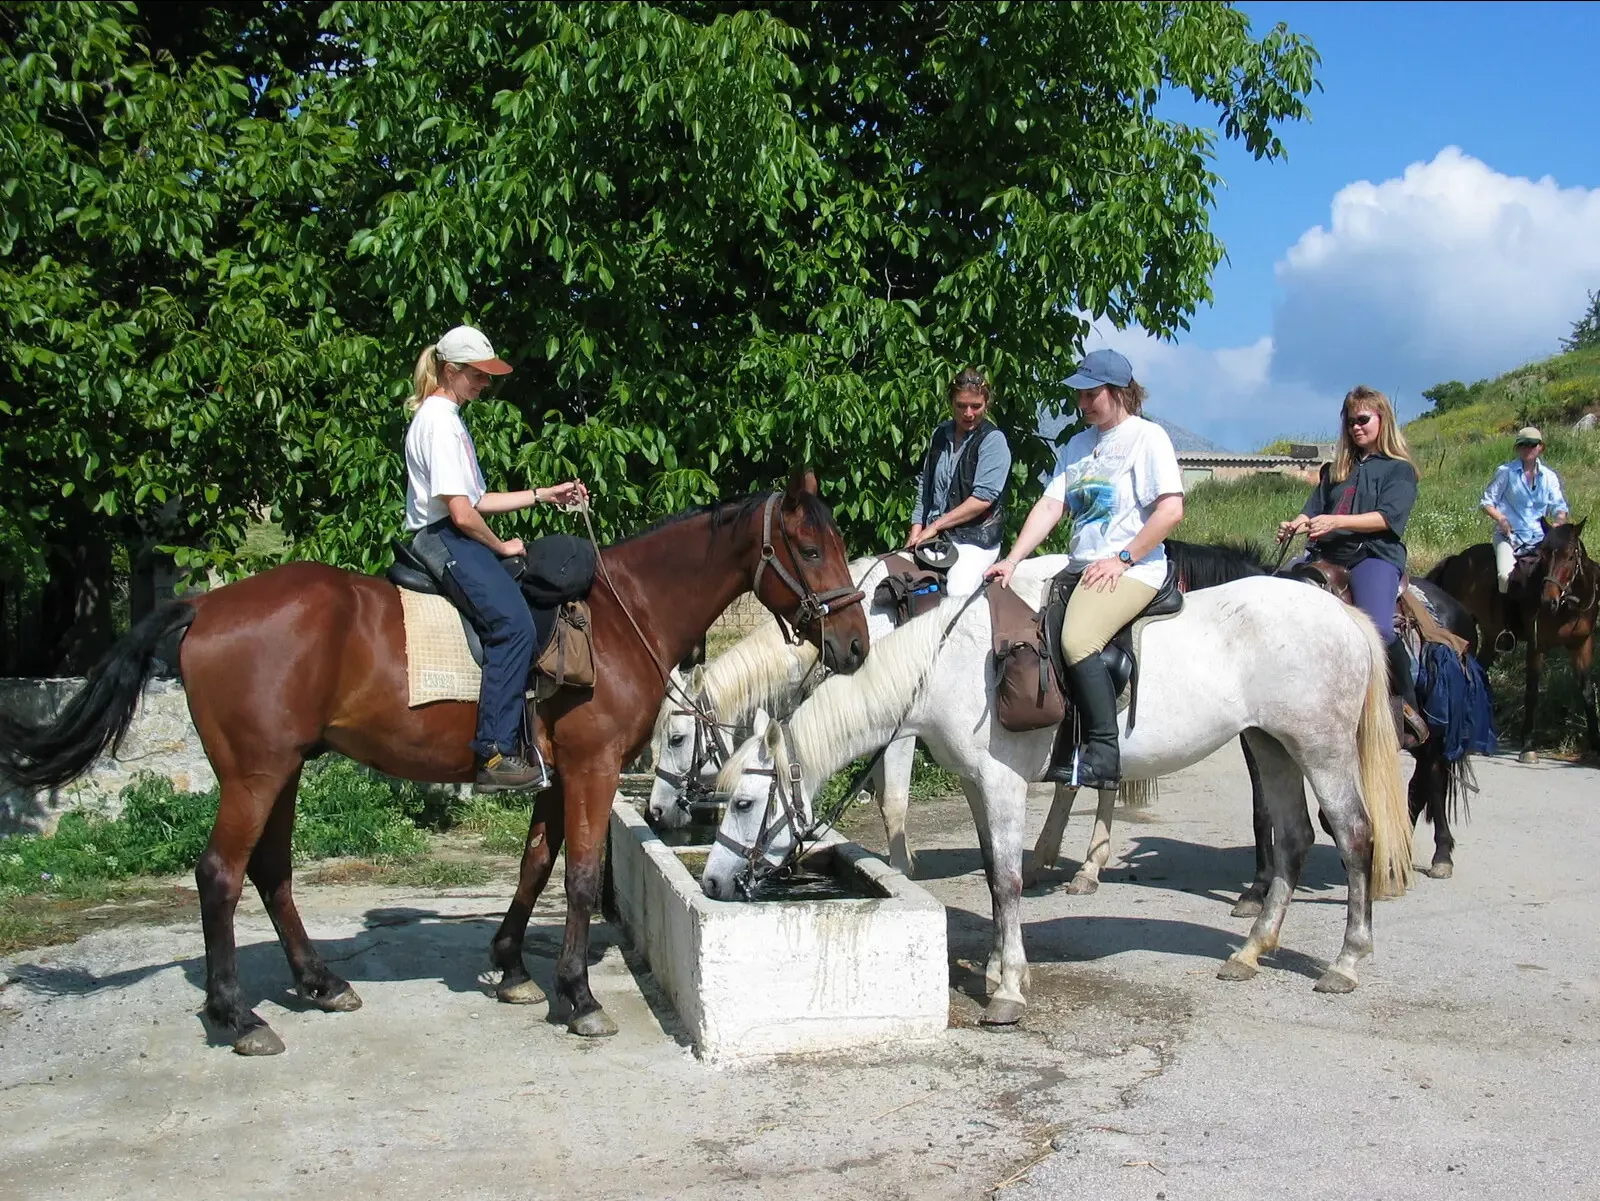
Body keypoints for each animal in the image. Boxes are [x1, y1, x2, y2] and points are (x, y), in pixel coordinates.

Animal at [0, 473, 876, 1055]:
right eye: (808, 547)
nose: (854, 645)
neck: (620, 613)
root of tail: (205, 605)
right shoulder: (592, 769)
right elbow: (581, 875)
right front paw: (577, 995)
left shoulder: (555, 774)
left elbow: (535, 862)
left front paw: (513, 967)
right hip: (253, 773)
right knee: (220, 873)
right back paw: (239, 1016)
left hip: (283, 769)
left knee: (271, 871)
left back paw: (320, 982)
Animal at [704, 578, 1414, 1023]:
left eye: (743, 803)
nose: (711, 883)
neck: (945, 670)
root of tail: (1343, 616)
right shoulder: (977, 786)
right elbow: (995, 880)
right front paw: (998, 971)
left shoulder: (1001, 784)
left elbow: (1010, 881)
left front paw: (1008, 993)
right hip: (1270, 744)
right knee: (1293, 840)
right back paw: (1249, 952)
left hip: (1320, 749)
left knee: (1354, 835)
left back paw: (1347, 962)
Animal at [1433, 518, 1593, 761]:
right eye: (1544, 556)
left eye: (1570, 557)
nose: (1548, 601)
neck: (1569, 607)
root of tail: (1457, 559)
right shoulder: (1537, 646)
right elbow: (1532, 692)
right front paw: (1528, 746)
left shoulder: (1581, 645)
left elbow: (1587, 693)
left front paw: (1595, 745)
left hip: (1490, 638)